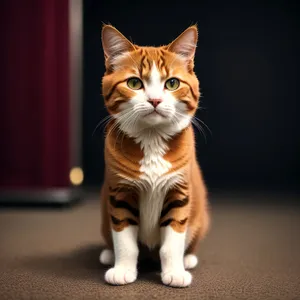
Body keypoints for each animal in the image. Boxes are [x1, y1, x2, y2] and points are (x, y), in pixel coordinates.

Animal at [98, 24, 209, 288]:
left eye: (172, 83)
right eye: (134, 83)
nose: (155, 100)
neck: (152, 138)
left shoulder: (179, 192)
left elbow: (173, 241)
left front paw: (175, 272)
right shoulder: (120, 192)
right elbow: (124, 240)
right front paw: (122, 269)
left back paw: (189, 259)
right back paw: (107, 254)